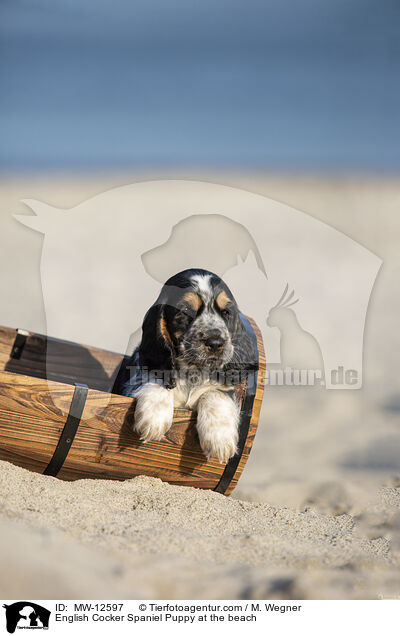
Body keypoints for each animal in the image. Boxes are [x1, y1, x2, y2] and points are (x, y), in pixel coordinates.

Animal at [119, 268, 256, 462]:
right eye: (185, 312)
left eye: (226, 313)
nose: (216, 343)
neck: (193, 372)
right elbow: (157, 378)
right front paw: (154, 418)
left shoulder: (223, 388)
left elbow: (215, 393)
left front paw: (220, 440)